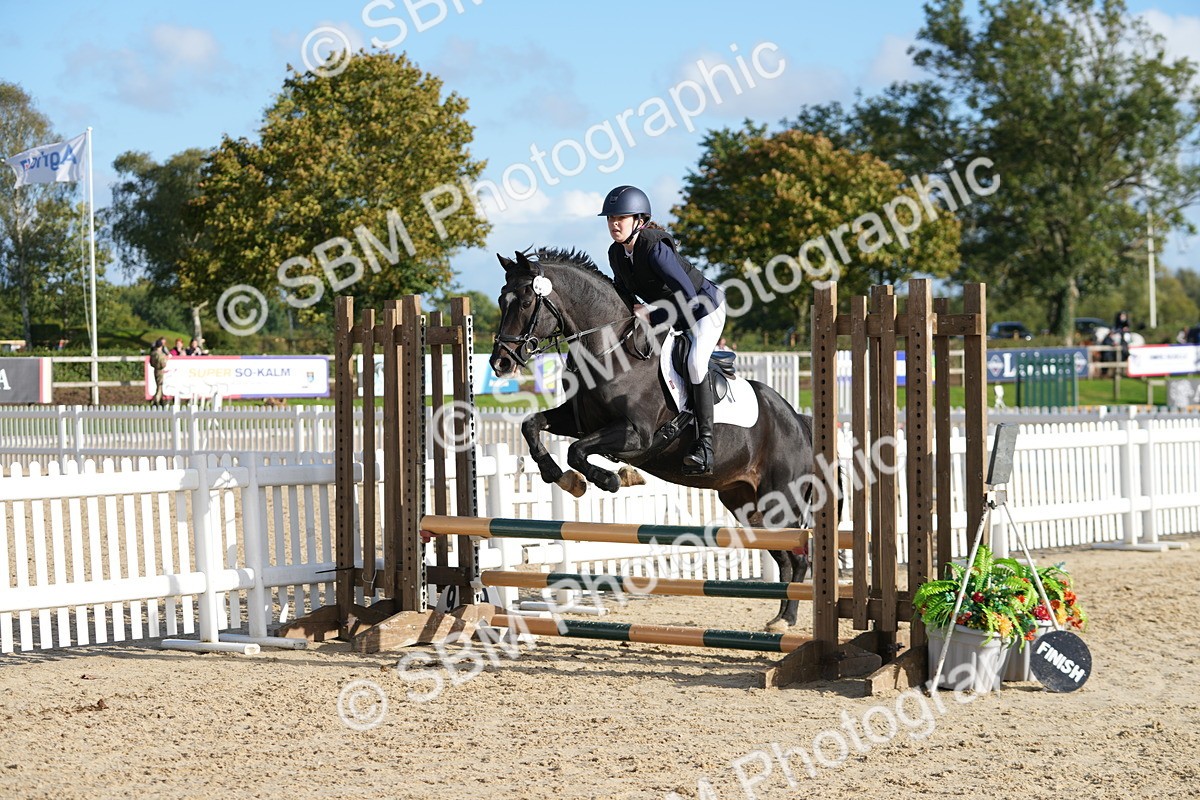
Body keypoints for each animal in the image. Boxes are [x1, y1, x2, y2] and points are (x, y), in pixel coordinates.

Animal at [489, 247, 831, 631]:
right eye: (501, 301)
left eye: (526, 302)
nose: (500, 363)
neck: (611, 349)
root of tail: (799, 423)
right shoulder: (578, 421)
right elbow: (532, 426)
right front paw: (559, 476)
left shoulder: (636, 435)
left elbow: (578, 452)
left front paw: (612, 479)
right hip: (747, 504)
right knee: (785, 558)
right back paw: (779, 618)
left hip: (780, 502)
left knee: (799, 559)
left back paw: (786, 621)